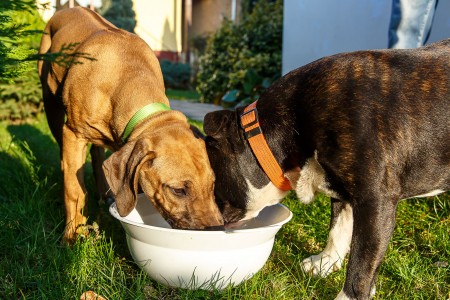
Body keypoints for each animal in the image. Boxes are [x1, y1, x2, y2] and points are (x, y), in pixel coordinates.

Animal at [38, 6, 223, 244]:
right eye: (178, 190)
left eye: (213, 184)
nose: (217, 230)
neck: (127, 75)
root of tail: (70, 8)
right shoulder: (74, 134)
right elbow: (74, 190)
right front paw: (72, 236)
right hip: (51, 104)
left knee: (97, 155)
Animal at [205, 39, 450, 298]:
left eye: (210, 186)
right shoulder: (343, 191)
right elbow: (339, 228)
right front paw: (325, 262)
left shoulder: (375, 202)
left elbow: (362, 263)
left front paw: (348, 295)